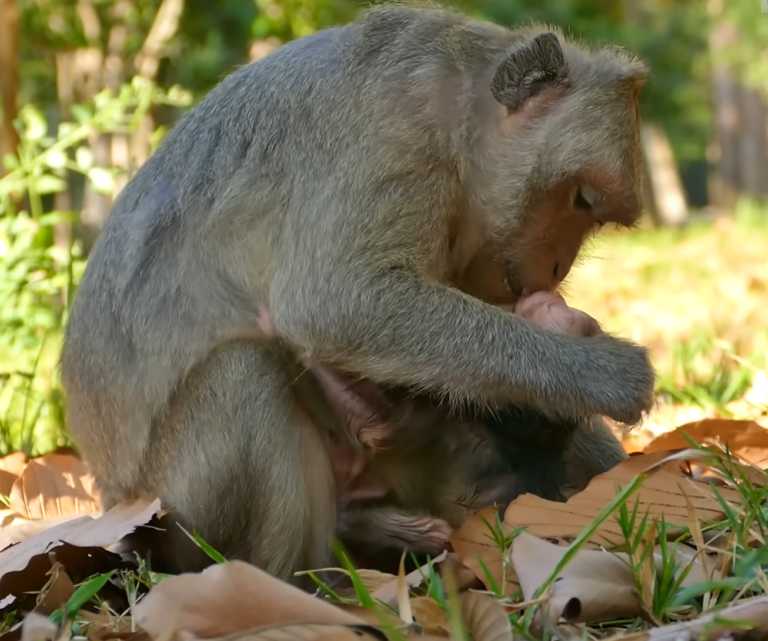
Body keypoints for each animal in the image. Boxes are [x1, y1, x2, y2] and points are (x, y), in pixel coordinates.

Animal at [60, 5, 653, 585]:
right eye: (582, 199)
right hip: (177, 514)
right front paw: (609, 374)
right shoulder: (397, 136)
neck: (462, 104)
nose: (557, 269)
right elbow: (336, 303)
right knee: (243, 371)